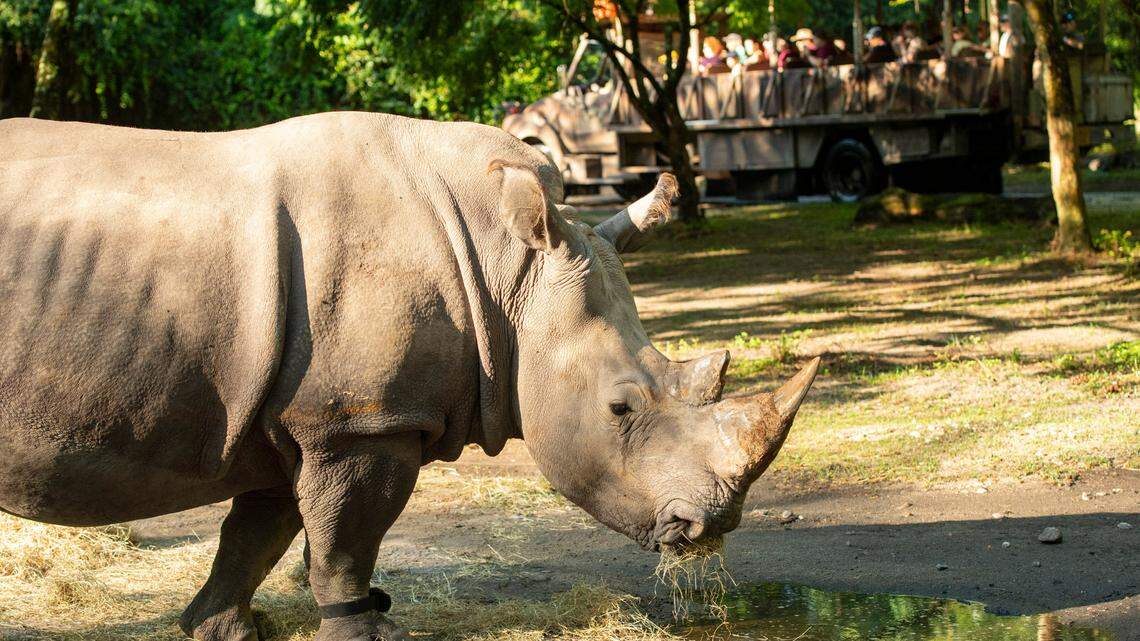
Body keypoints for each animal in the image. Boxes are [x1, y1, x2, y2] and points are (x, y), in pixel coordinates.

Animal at [0, 112, 818, 641]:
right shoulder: (360, 422)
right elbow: (342, 547)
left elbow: (255, 536)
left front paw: (223, 628)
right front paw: (358, 631)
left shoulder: (297, 419)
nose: (711, 526)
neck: (508, 271)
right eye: (620, 408)